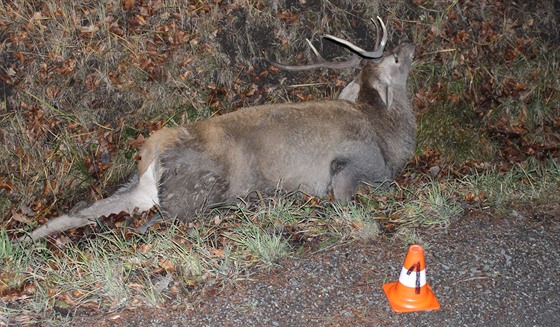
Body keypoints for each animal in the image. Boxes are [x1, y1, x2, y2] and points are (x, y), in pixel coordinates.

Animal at [21, 18, 416, 243]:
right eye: (395, 59)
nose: (409, 42)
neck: (389, 135)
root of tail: (152, 153)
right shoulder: (360, 164)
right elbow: (351, 193)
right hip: (191, 195)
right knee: (149, 224)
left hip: (138, 189)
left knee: (87, 211)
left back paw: (28, 239)